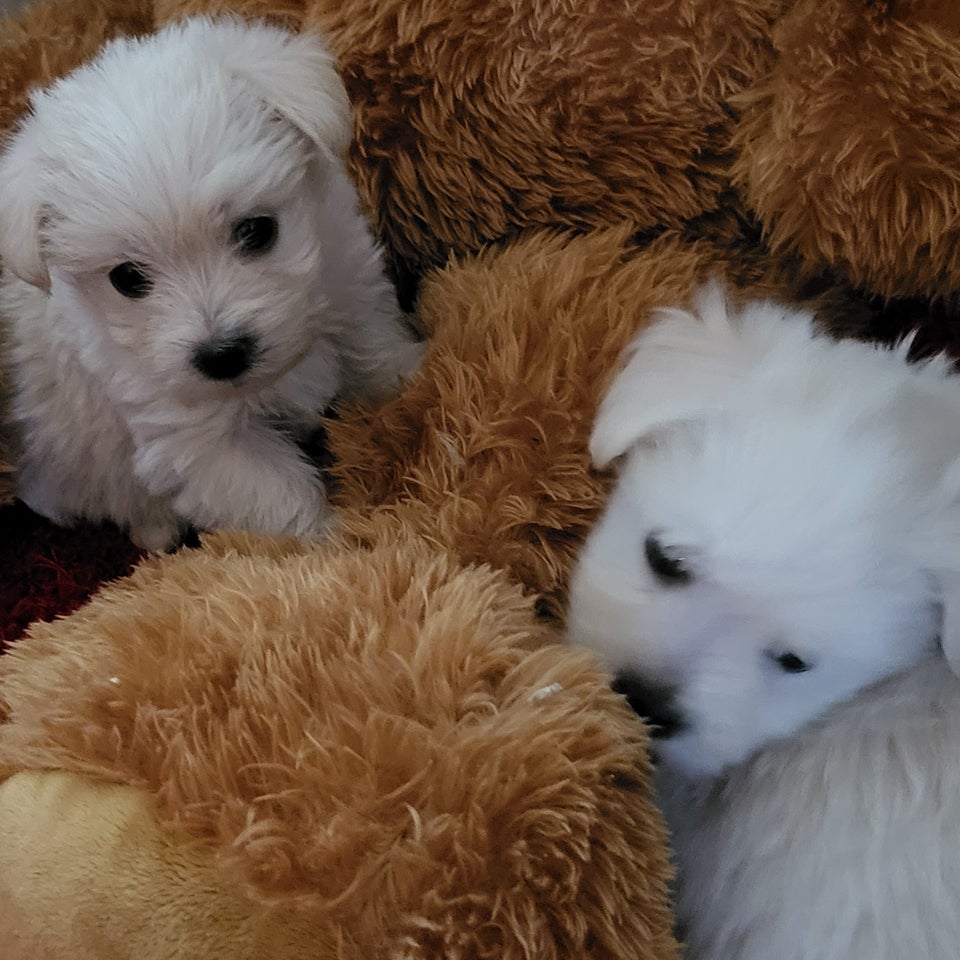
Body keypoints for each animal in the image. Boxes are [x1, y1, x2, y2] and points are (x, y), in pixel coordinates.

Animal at [0, 18, 424, 552]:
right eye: (126, 278)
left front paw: (414, 379)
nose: (222, 355)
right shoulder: (198, 440)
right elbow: (278, 493)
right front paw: (334, 542)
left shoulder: (347, 281)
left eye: (257, 230)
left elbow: (372, 348)